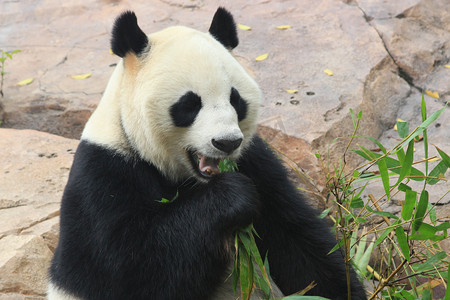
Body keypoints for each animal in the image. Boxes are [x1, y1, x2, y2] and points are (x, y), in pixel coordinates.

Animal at [47, 7, 368, 300]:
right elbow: (129, 268)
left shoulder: (256, 162)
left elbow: (298, 243)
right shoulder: (104, 174)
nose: (227, 142)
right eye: (189, 104)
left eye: (235, 99)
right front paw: (233, 196)